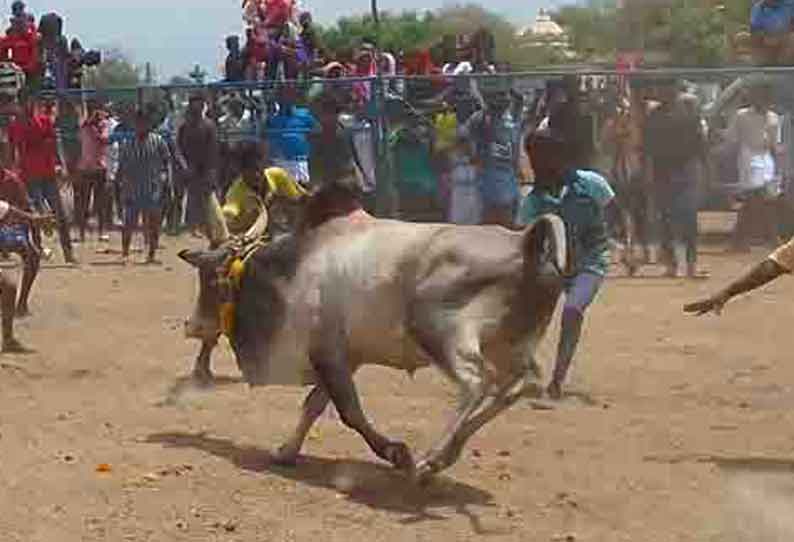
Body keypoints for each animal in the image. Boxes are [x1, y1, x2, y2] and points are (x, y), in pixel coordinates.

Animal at [179, 185, 564, 482]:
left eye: (209, 278)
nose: (191, 325)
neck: (289, 269)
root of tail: (525, 242)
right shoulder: (342, 356)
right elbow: (314, 405)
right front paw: (287, 451)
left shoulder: (328, 354)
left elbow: (349, 412)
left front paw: (396, 452)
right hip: (511, 345)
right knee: (522, 384)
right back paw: (449, 452)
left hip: (440, 331)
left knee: (477, 382)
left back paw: (431, 459)